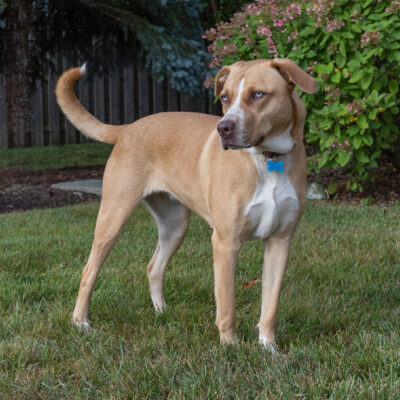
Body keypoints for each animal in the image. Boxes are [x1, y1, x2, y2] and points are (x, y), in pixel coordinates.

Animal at [56, 59, 318, 354]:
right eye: (225, 97)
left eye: (258, 94)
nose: (224, 128)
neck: (268, 159)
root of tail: (128, 128)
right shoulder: (225, 243)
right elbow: (227, 306)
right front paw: (230, 347)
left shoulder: (280, 241)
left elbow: (270, 306)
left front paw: (269, 348)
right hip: (113, 218)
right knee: (89, 270)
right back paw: (80, 322)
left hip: (175, 226)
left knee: (154, 267)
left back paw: (161, 312)